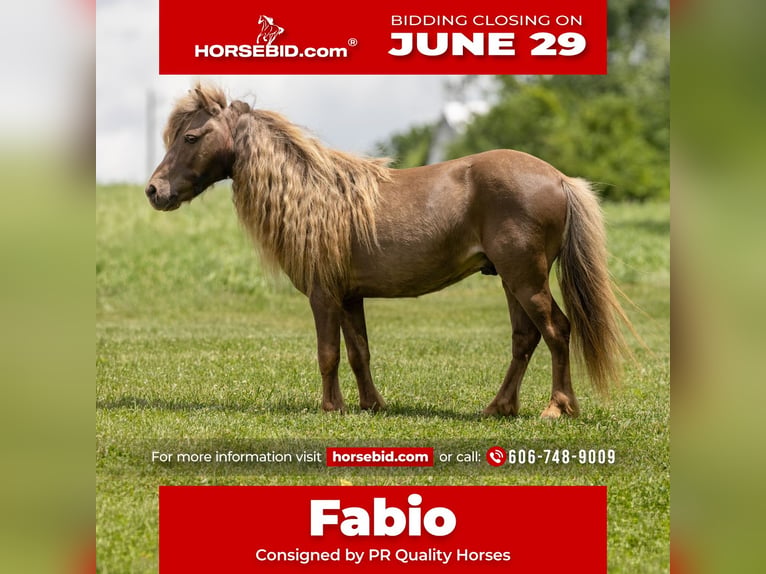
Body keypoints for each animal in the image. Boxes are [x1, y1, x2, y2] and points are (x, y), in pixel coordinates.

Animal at [145, 84, 633, 419]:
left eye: (192, 137)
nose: (154, 191)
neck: (313, 194)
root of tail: (559, 179)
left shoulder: (323, 295)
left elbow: (328, 352)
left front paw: (332, 407)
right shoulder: (349, 296)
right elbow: (358, 351)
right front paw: (371, 405)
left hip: (526, 278)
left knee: (557, 330)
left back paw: (557, 407)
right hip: (511, 281)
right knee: (524, 339)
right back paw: (498, 407)